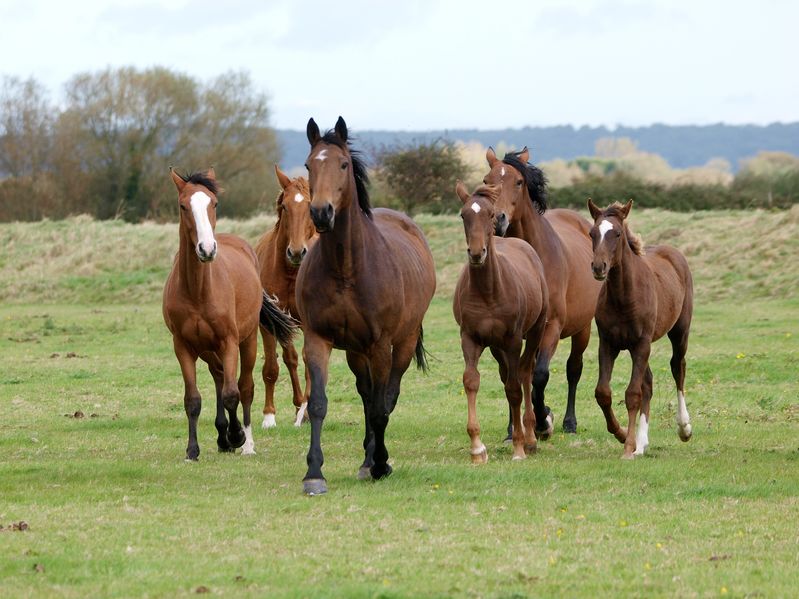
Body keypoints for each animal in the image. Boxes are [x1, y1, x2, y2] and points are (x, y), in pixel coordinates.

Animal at [162, 168, 297, 461]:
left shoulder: (229, 342)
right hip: (208, 350)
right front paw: (192, 450)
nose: (207, 249)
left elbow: (233, 394)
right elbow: (193, 399)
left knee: (244, 387)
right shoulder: (183, 346)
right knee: (219, 376)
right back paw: (222, 436)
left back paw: (245, 442)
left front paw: (237, 436)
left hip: (247, 342)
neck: (199, 290)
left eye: (214, 203)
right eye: (183, 205)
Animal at [295, 117, 436, 495]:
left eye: (343, 164)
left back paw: (375, 461)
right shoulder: (317, 340)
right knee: (366, 393)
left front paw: (382, 464)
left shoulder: (380, 345)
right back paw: (365, 459)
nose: (321, 212)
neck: (346, 269)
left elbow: (380, 408)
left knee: (386, 396)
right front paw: (314, 473)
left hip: (399, 345)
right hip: (356, 352)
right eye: (309, 165)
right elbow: (318, 404)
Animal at [453, 182, 549, 462]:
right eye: (463, 215)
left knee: (525, 374)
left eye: (491, 214)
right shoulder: (470, 338)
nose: (476, 253)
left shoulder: (513, 340)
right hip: (496, 347)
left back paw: (529, 437)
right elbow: (471, 381)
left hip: (535, 332)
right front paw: (477, 448)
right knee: (508, 378)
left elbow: (515, 388)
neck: (488, 290)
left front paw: (518, 447)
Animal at [484, 147, 601, 435]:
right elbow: (510, 377)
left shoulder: (551, 326)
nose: (497, 220)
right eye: (486, 181)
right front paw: (513, 428)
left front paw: (542, 420)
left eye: (518, 182)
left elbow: (540, 375)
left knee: (573, 369)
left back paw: (568, 422)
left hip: (582, 329)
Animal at [587, 199, 693, 458]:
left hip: (679, 332)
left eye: (616, 233)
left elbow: (633, 394)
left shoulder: (642, 343)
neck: (624, 296)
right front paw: (624, 435)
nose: (598, 267)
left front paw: (627, 448)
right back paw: (642, 443)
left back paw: (684, 428)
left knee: (678, 368)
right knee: (649, 382)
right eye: (592, 233)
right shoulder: (608, 344)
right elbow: (603, 392)